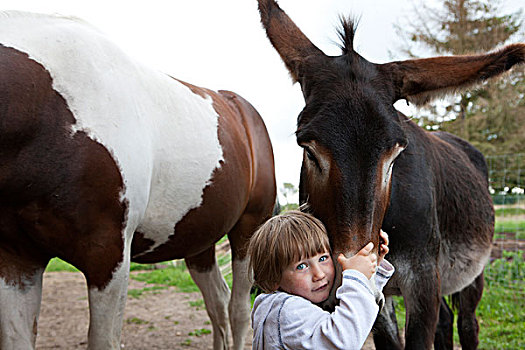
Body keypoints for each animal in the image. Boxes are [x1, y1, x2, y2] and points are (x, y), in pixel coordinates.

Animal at [0, 10, 276, 350]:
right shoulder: (18, 258)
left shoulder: (109, 255)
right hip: (199, 238)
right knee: (218, 302)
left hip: (249, 230)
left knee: (238, 311)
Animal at [256, 1, 520, 348]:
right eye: (308, 149)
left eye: (395, 153)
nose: (348, 270)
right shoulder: (378, 298)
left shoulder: (423, 282)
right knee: (446, 321)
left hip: (473, 273)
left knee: (467, 323)